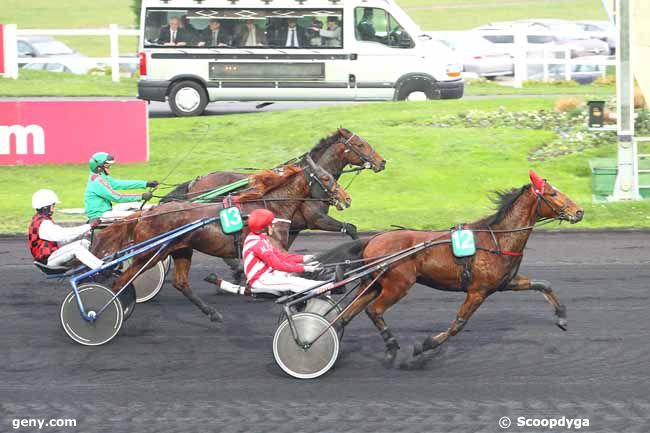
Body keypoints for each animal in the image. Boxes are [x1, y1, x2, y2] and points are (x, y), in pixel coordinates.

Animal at [91, 158, 350, 320]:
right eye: (326, 179)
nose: (346, 198)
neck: (271, 206)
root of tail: (146, 213)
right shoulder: (273, 247)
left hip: (181, 250)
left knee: (180, 283)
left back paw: (212, 313)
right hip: (151, 254)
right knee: (123, 279)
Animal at [316, 171, 584, 368]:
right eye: (553, 193)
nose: (579, 211)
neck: (498, 239)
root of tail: (374, 239)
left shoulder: (506, 282)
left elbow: (543, 284)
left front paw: (562, 317)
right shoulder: (478, 291)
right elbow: (458, 325)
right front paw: (423, 347)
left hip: (372, 284)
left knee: (347, 314)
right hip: (397, 285)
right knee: (374, 310)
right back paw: (390, 349)